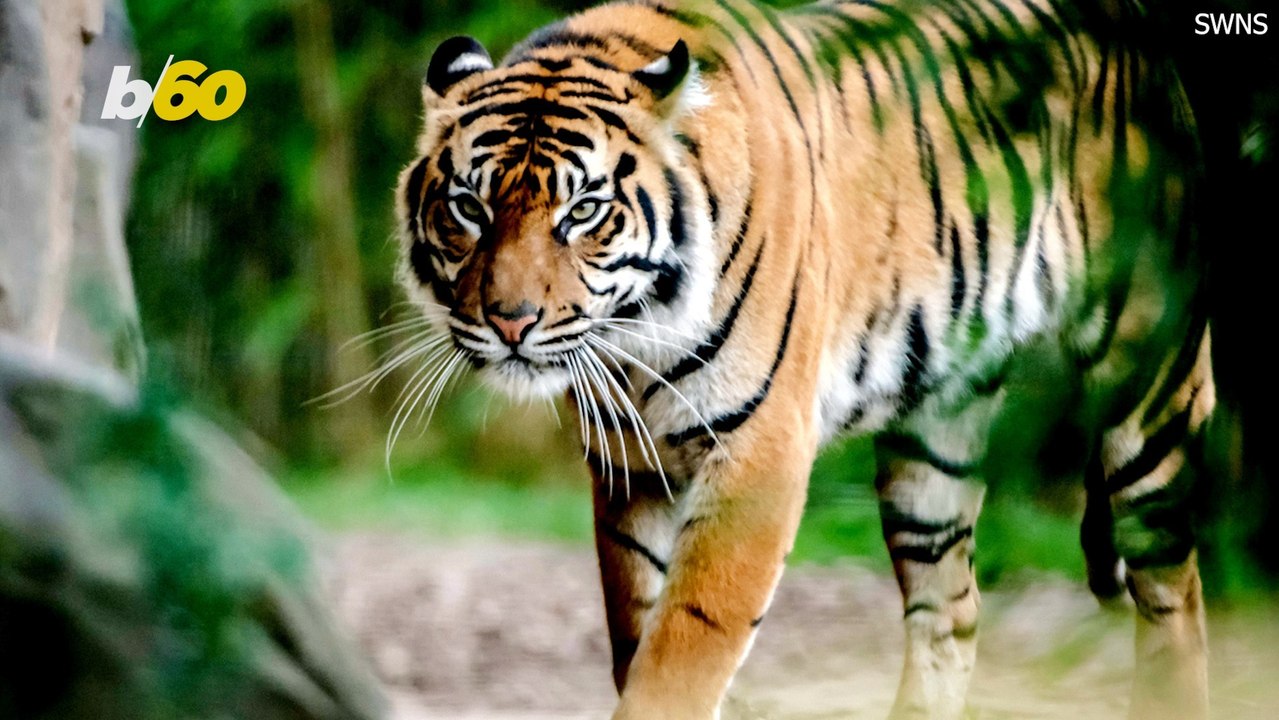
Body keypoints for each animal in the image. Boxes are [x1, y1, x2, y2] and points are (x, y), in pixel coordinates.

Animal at [392, 0, 1214, 718]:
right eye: (468, 206)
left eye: (584, 211)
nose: (510, 320)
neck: (636, 339)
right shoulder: (631, 468)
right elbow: (636, 626)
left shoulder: (757, 454)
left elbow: (683, 649)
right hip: (934, 445)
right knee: (951, 610)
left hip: (1150, 379)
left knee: (1173, 599)